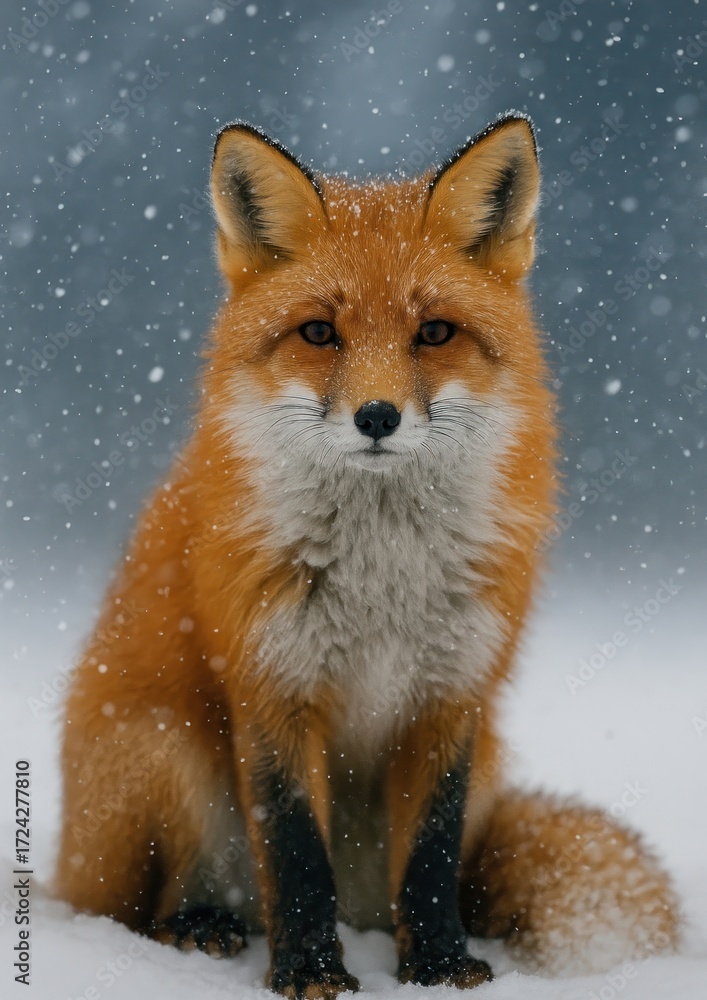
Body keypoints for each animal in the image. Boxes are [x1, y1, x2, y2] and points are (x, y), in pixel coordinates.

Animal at [56, 113, 679, 998]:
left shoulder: (452, 695)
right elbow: (294, 854)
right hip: (162, 748)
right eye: (319, 332)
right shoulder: (273, 684)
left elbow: (428, 859)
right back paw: (196, 927)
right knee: (136, 910)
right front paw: (311, 973)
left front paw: (440, 966)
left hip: (482, 769)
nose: (377, 417)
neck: (383, 579)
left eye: (434, 332)